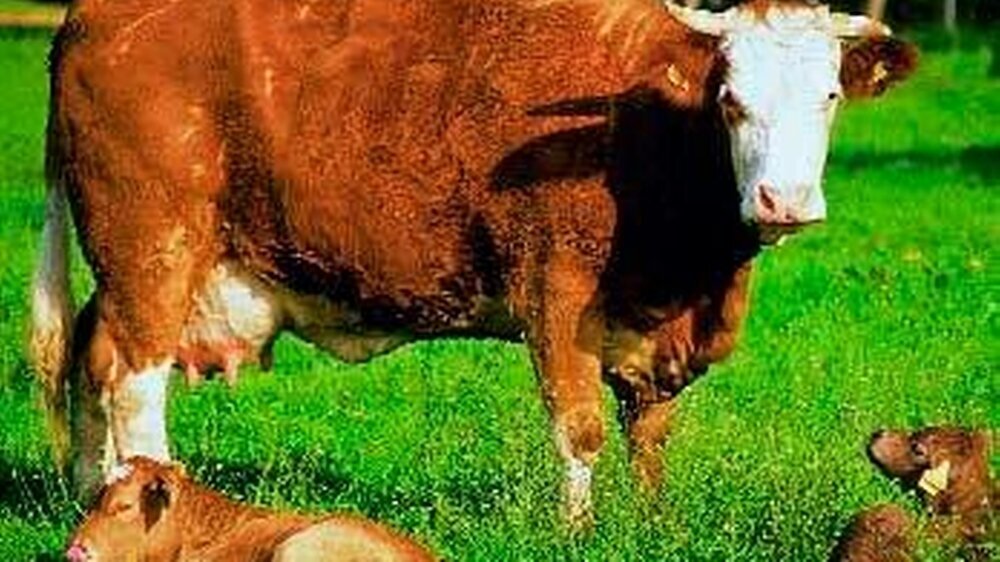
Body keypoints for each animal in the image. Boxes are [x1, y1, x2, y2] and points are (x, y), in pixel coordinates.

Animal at [31, 0, 916, 522]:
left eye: (829, 96)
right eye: (730, 100)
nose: (783, 202)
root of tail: (89, 16)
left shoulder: (653, 328)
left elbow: (650, 431)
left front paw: (654, 523)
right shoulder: (554, 290)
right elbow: (580, 426)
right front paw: (578, 532)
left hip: (131, 268)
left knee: (91, 357)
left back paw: (92, 497)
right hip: (152, 247)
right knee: (134, 386)